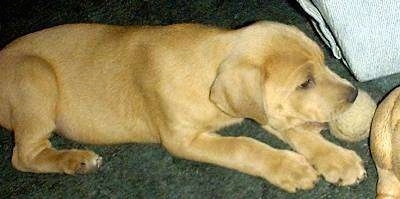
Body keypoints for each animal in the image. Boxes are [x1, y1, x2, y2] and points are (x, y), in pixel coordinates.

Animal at [0, 22, 364, 193]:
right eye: (305, 83)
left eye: (323, 63)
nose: (354, 94)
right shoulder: (181, 140)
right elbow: (244, 145)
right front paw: (290, 167)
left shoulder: (265, 109)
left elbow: (295, 129)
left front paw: (337, 159)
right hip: (34, 76)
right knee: (24, 155)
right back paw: (75, 160)